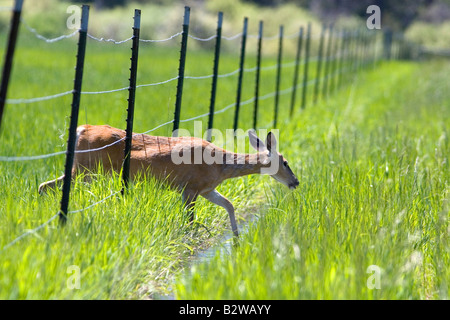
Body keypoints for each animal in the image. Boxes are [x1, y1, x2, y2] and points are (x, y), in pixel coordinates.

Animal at [39, 124, 298, 236]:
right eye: (285, 162)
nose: (296, 182)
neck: (221, 165)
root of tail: (82, 128)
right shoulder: (190, 188)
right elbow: (191, 219)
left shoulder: (206, 189)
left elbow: (229, 204)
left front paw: (236, 238)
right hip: (85, 169)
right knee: (48, 185)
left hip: (84, 171)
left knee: (46, 185)